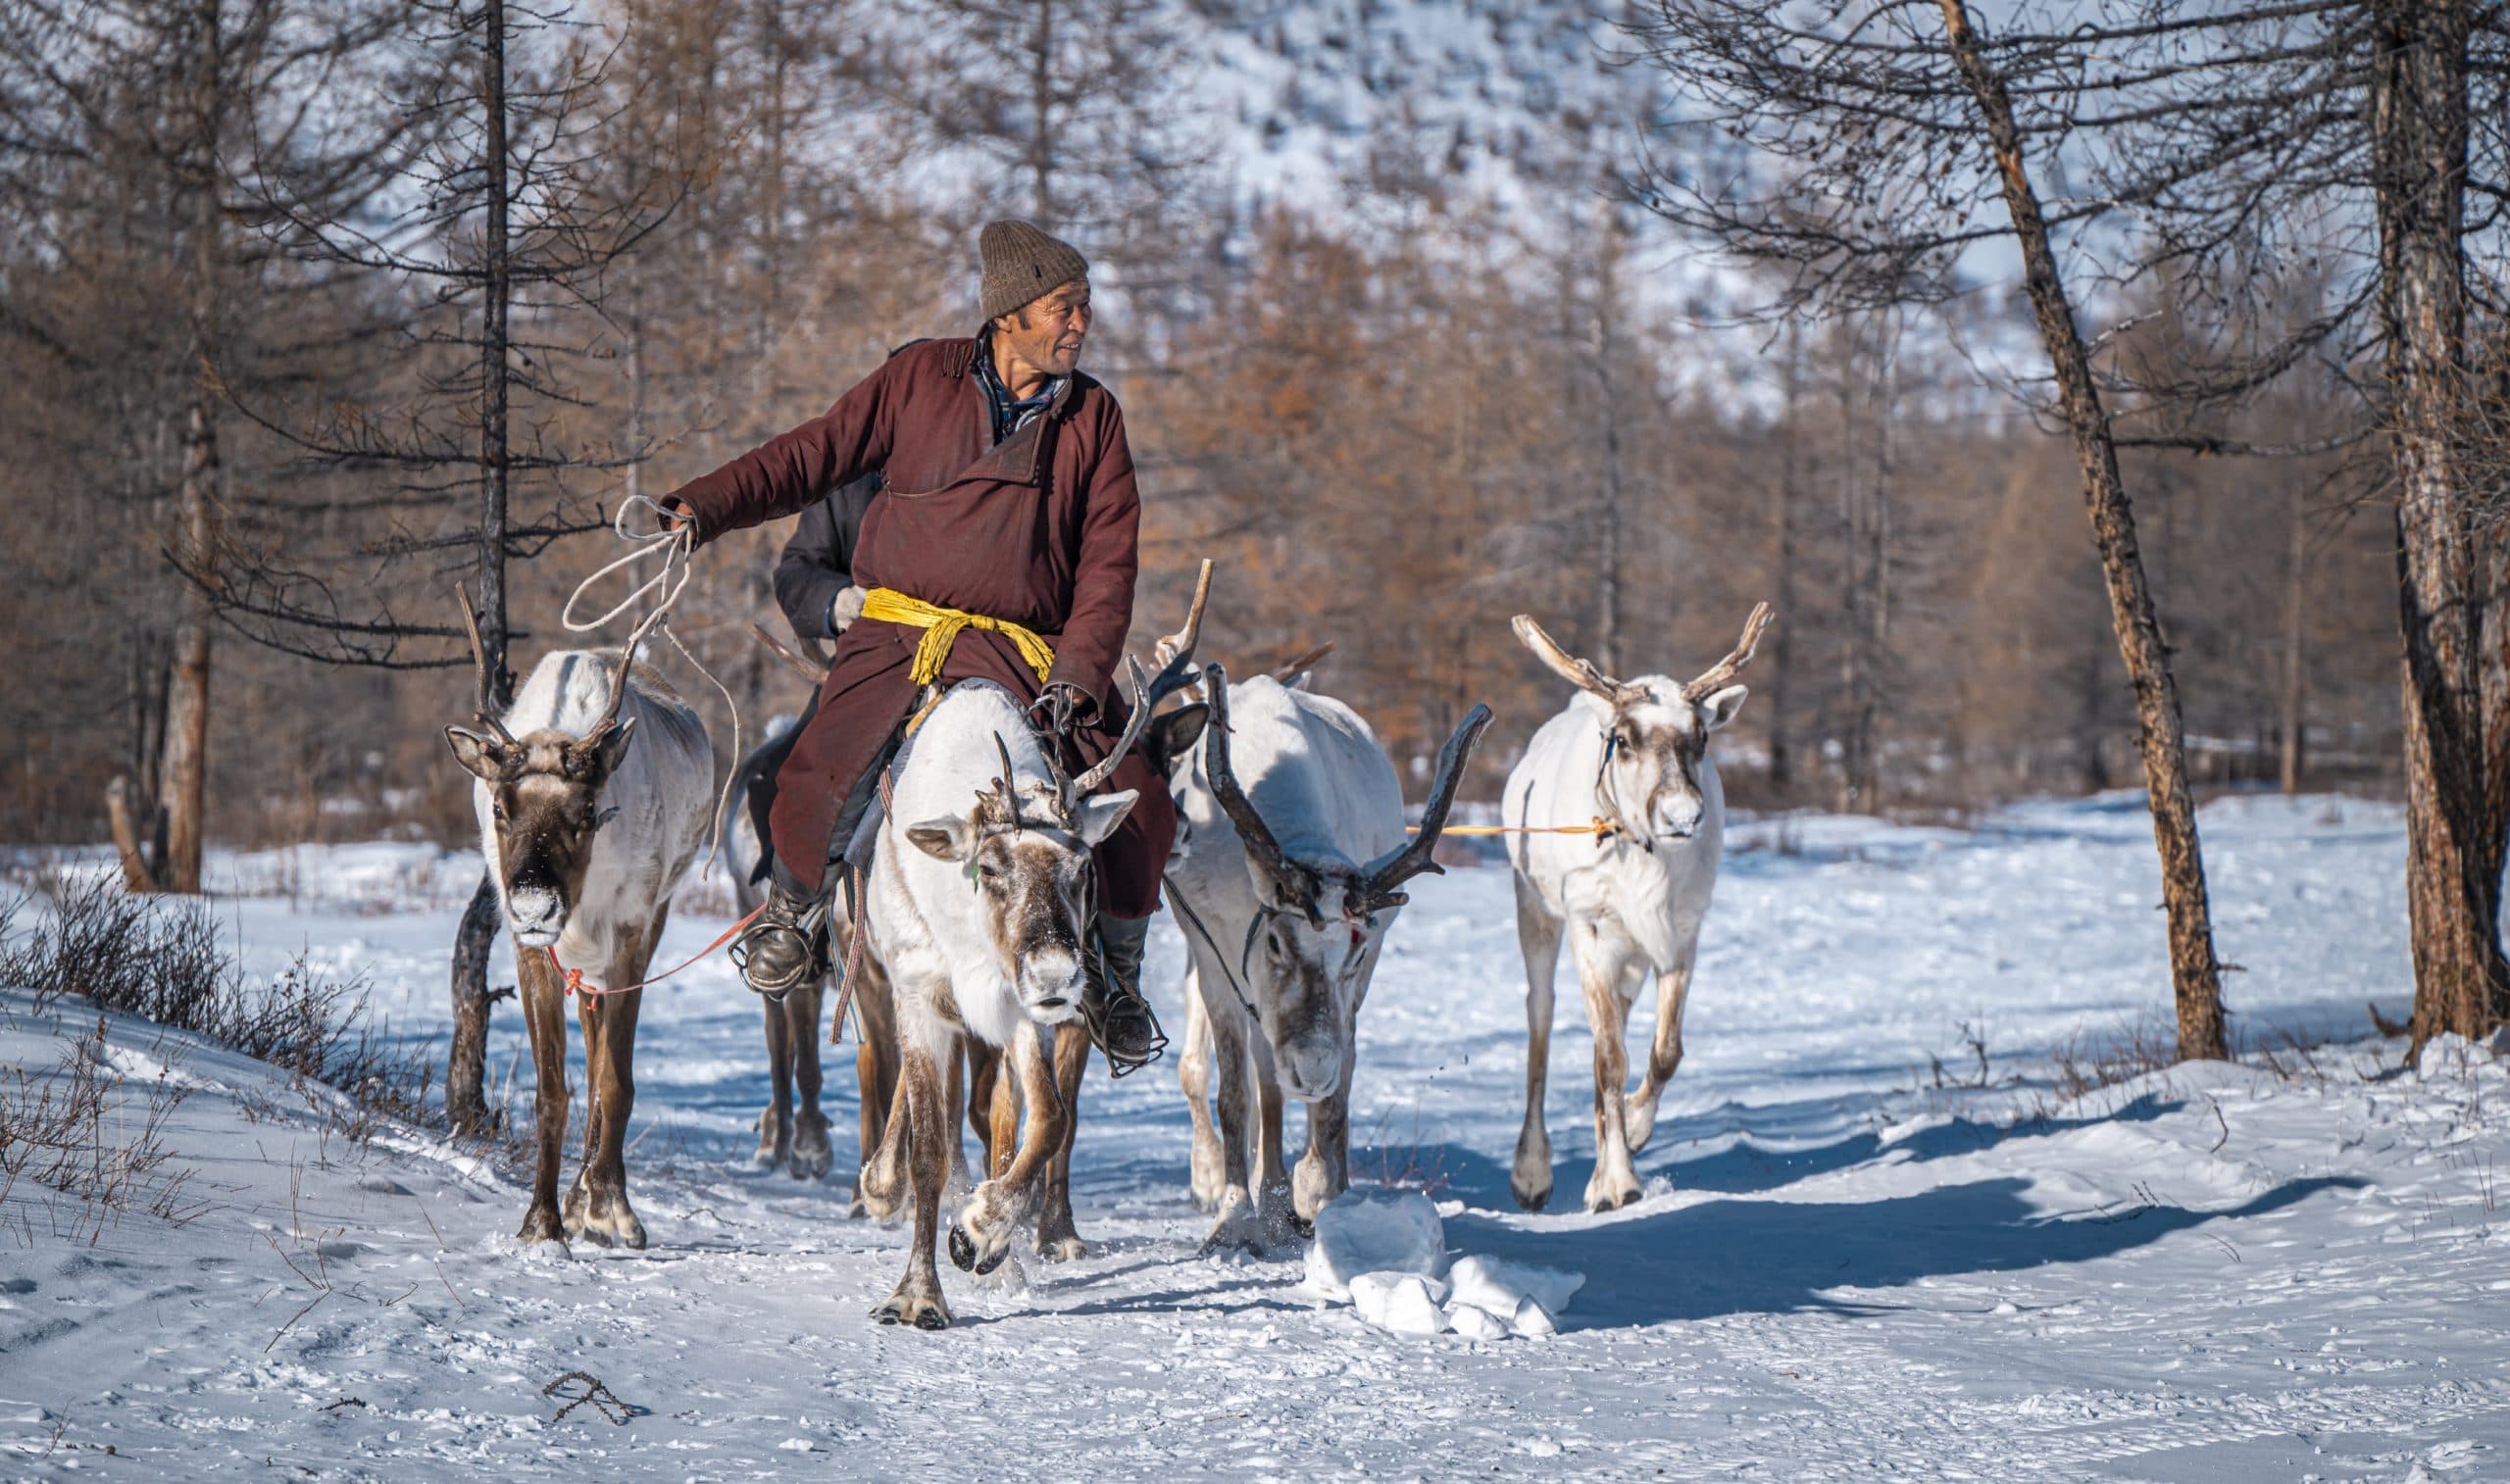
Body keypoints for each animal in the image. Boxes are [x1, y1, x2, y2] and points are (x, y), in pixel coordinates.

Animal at [442, 591, 715, 1250]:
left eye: (588, 810)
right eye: (499, 807)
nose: (536, 905)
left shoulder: (632, 933)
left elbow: (614, 1082)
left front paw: (611, 1208)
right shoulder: (529, 948)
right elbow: (552, 1089)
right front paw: (542, 1221)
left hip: (642, 929)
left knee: (604, 1070)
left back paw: (595, 1195)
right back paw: (573, 1195)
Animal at [1164, 664, 1490, 1254]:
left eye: (1353, 952)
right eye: (1274, 941)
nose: (1313, 1070)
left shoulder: (1365, 968)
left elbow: (1335, 1093)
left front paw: (1316, 1187)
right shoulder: (1212, 957)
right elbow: (1236, 1094)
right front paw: (1236, 1216)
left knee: (1335, 1065)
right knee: (1266, 1077)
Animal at [1501, 603, 1771, 1214]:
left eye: (1702, 736)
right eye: (1623, 739)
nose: (1682, 815)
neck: (1645, 858)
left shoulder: (1678, 936)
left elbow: (1663, 1051)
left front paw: (1634, 1135)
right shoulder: (1591, 928)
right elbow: (1610, 1059)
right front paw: (1619, 1181)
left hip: (1629, 959)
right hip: (1536, 909)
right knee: (1540, 1016)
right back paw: (1532, 1173)